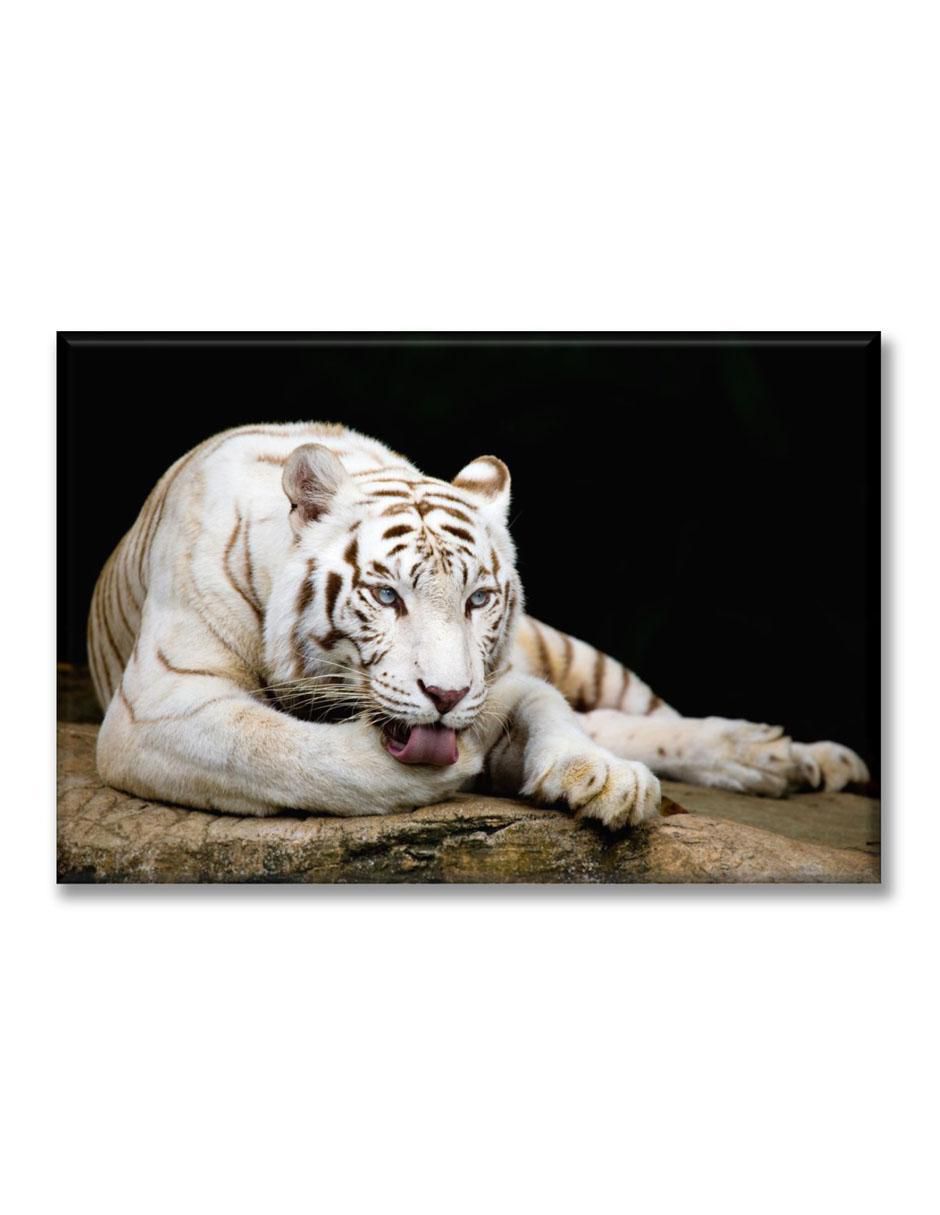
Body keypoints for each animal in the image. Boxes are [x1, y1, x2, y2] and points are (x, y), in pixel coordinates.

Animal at [87, 421, 869, 827]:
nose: (447, 696)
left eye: (478, 600)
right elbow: (283, 751)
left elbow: (550, 708)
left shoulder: (507, 675)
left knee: (640, 714)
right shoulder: (160, 706)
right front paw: (457, 766)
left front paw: (604, 778)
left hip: (570, 651)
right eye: (387, 596)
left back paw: (793, 757)